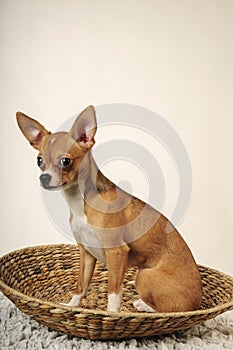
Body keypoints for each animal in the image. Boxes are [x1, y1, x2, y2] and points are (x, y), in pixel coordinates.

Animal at [16, 106, 202, 312]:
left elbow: (113, 291)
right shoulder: (86, 253)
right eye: (39, 161)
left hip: (144, 276)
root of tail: (198, 302)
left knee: (166, 311)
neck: (81, 202)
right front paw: (72, 305)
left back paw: (143, 305)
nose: (44, 177)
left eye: (65, 161)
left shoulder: (116, 252)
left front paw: (112, 313)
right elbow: (81, 285)